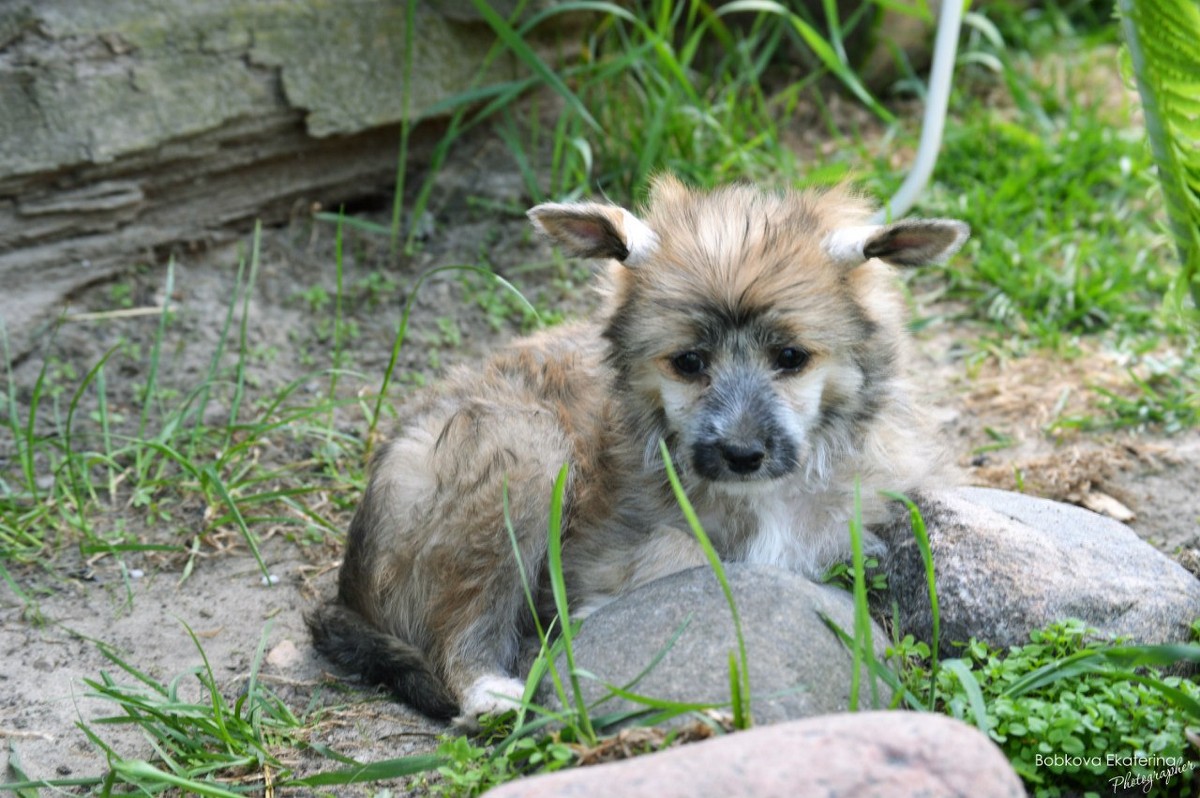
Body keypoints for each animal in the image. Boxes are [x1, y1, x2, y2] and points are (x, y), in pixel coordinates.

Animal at [307, 174, 964, 720]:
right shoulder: (604, 549)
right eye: (689, 362)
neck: (763, 495)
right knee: (461, 622)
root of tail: (347, 593)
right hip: (522, 452)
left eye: (791, 357)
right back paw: (490, 691)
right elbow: (685, 557)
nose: (742, 454)